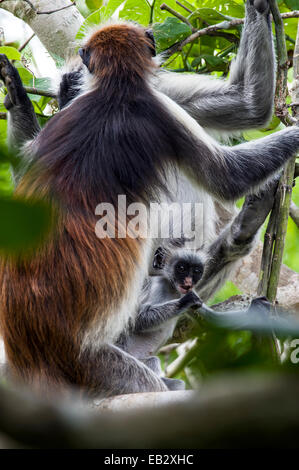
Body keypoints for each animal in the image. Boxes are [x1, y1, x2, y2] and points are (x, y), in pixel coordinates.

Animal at [0, 0, 299, 396]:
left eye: (74, 84)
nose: (67, 93)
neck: (116, 86)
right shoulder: (159, 110)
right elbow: (229, 171)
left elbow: (245, 105)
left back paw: (245, 228)